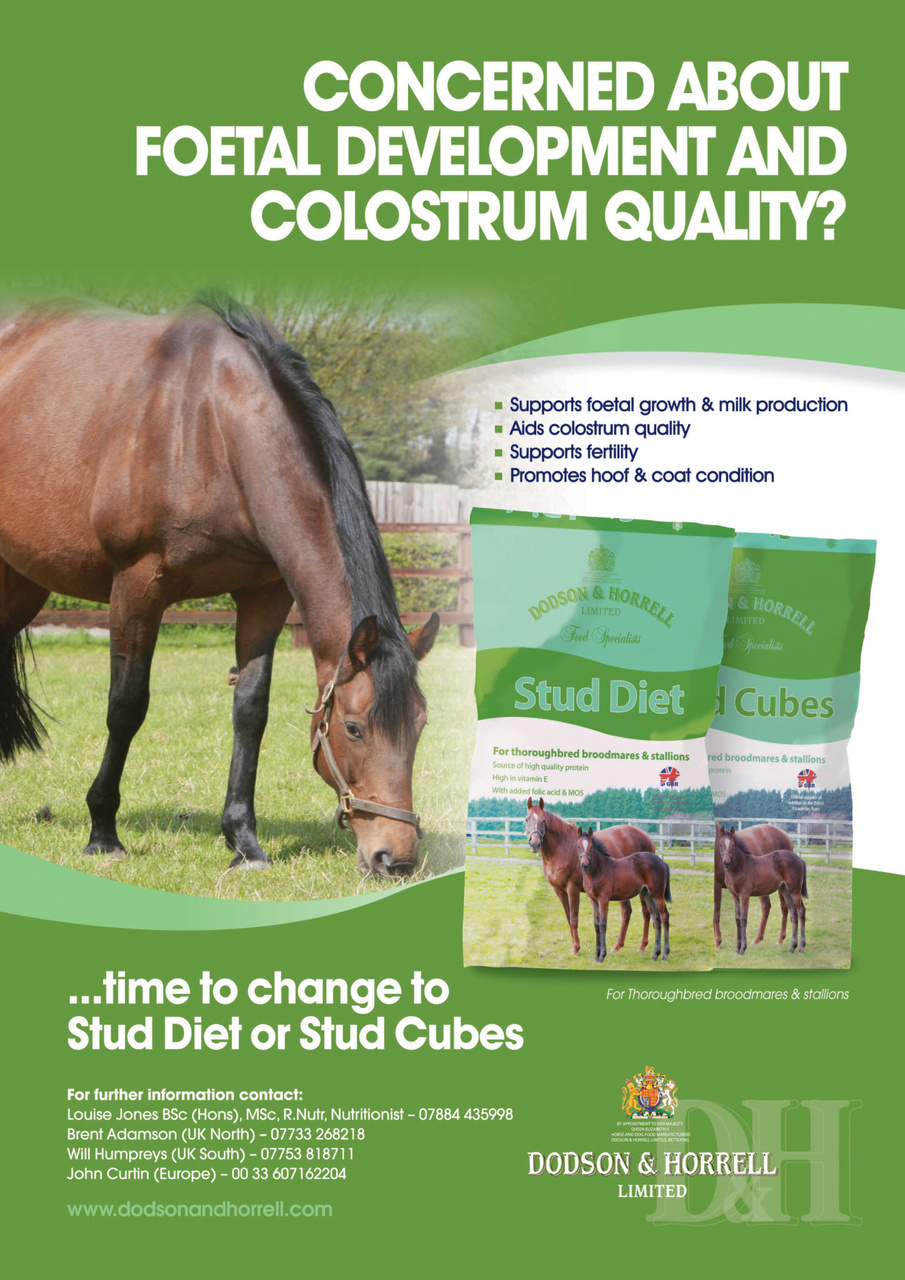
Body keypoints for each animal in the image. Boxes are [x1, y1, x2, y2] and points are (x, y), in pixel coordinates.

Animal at [0, 295, 439, 877]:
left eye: (420, 725)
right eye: (354, 728)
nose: (396, 858)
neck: (210, 428)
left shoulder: (265, 594)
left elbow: (250, 711)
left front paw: (243, 842)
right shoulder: (137, 585)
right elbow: (126, 706)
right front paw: (103, 833)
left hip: (22, 583)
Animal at [525, 797, 654, 955]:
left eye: (543, 820)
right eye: (527, 819)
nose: (535, 844)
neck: (562, 848)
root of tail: (646, 837)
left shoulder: (572, 888)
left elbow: (574, 918)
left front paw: (576, 948)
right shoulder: (559, 890)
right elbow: (568, 917)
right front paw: (574, 945)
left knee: (645, 912)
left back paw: (642, 945)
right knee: (627, 911)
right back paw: (618, 946)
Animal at [576, 827, 672, 962]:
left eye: (591, 847)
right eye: (578, 846)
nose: (585, 865)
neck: (598, 870)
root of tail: (662, 862)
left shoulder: (604, 899)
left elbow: (603, 924)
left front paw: (602, 956)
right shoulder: (593, 900)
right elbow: (596, 925)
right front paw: (596, 955)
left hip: (657, 894)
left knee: (664, 917)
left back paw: (664, 954)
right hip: (647, 893)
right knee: (656, 918)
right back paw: (655, 954)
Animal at [715, 825, 808, 956]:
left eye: (733, 845)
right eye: (720, 845)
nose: (726, 863)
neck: (740, 867)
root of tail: (799, 859)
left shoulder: (744, 894)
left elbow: (743, 918)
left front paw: (743, 949)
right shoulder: (735, 896)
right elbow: (737, 919)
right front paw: (737, 948)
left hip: (795, 890)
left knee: (801, 911)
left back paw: (801, 947)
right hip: (785, 889)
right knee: (793, 913)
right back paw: (792, 947)